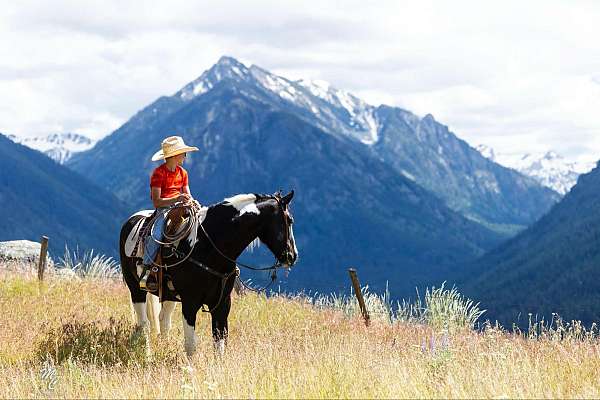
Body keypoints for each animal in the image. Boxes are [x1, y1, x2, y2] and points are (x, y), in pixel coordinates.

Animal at [119, 191, 298, 356]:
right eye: (290, 220)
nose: (292, 256)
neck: (207, 246)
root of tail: (132, 219)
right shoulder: (190, 302)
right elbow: (191, 345)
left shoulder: (222, 303)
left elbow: (220, 342)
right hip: (135, 289)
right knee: (144, 323)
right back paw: (148, 355)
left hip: (169, 295)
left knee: (164, 320)